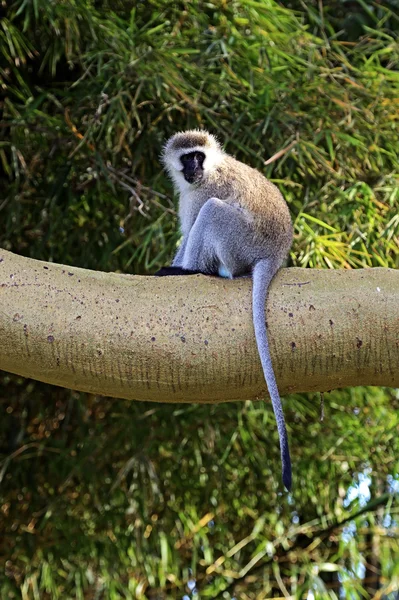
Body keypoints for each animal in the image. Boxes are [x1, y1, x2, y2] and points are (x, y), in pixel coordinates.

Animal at [159, 129, 294, 490]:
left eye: (199, 156)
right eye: (187, 157)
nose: (194, 168)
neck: (210, 171)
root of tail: (274, 255)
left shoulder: (203, 192)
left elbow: (194, 226)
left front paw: (179, 270)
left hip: (240, 241)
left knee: (211, 213)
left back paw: (193, 272)